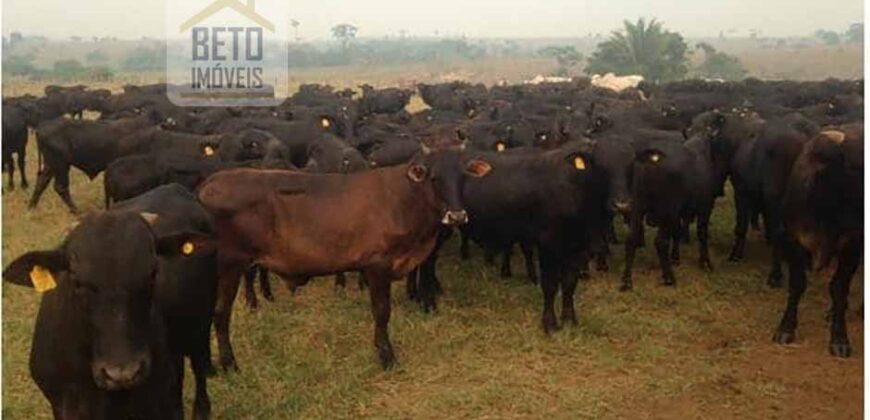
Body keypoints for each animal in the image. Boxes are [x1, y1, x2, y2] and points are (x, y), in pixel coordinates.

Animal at [200, 144, 494, 368]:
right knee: (221, 313)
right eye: (434, 177)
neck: (404, 199)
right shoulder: (377, 265)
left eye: (463, 176)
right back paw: (229, 363)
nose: (456, 215)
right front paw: (386, 356)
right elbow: (382, 312)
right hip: (230, 264)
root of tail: (211, 182)